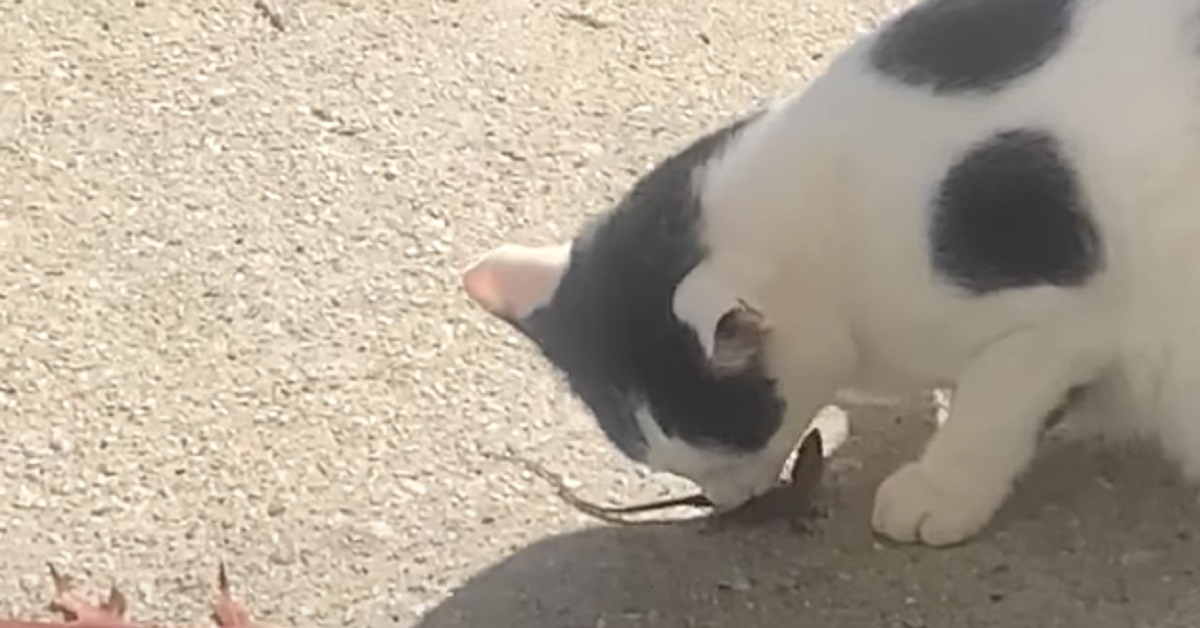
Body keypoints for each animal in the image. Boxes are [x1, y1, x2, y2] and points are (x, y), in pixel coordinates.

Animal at [460, 0, 1200, 545]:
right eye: (657, 458)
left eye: (739, 441)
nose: (726, 499)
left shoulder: (1059, 323)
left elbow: (988, 410)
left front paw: (940, 490)